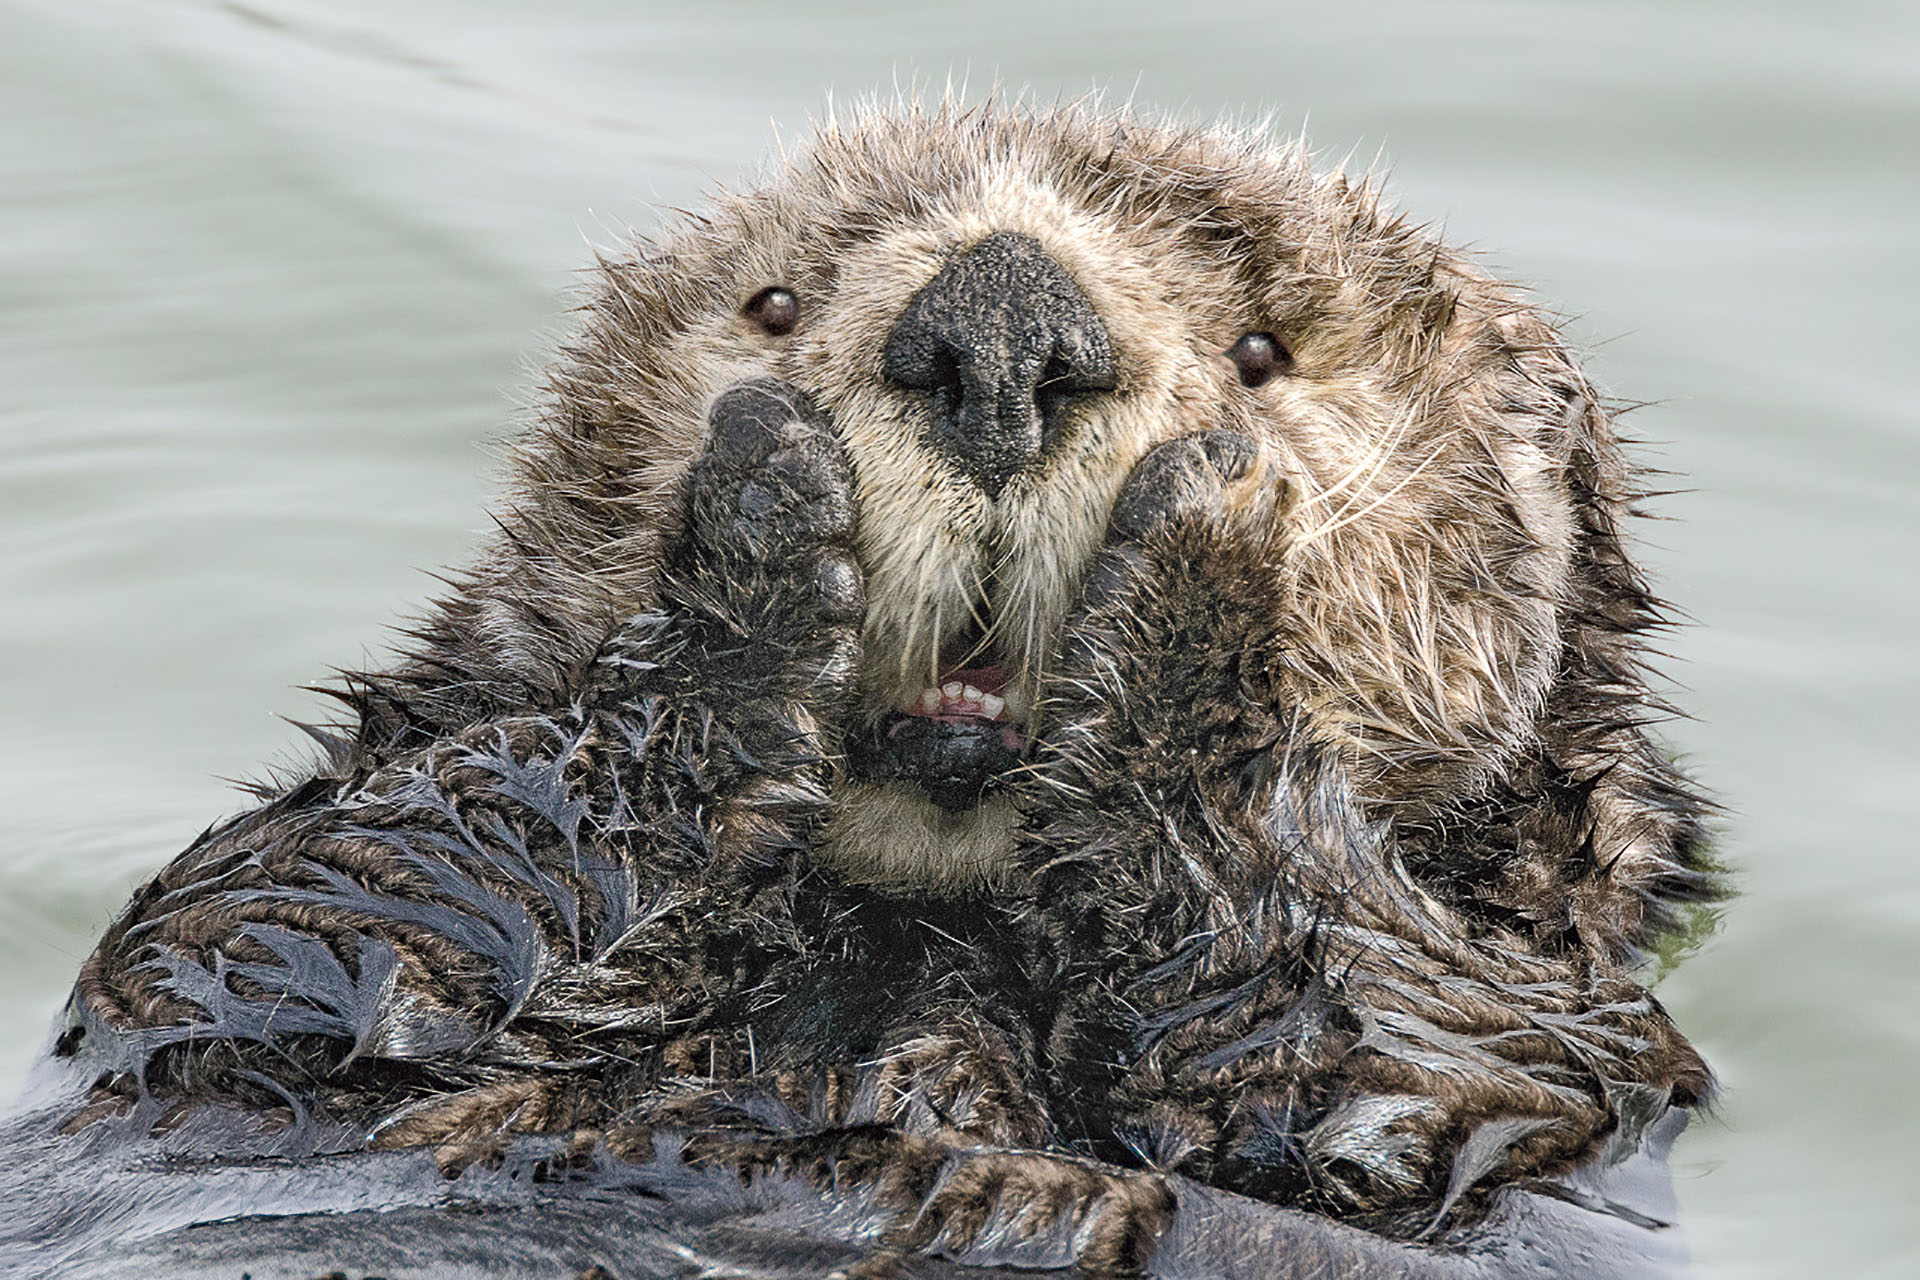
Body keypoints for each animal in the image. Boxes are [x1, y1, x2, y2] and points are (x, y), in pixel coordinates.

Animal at [3, 102, 1712, 1280]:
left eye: (1263, 351)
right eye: (773, 305)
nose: (1001, 326)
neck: (919, 933)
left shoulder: (1550, 1053)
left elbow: (1370, 1056)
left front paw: (1208, 549)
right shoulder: (231, 972)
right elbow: (305, 922)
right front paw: (758, 525)